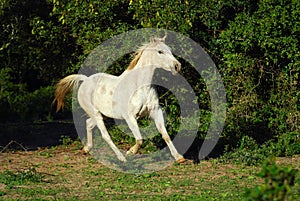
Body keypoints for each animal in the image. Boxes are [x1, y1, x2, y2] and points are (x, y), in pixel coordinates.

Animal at [53, 36, 185, 163]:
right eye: (160, 51)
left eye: (170, 50)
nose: (177, 66)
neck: (141, 86)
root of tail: (85, 80)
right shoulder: (130, 117)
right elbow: (139, 139)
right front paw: (131, 152)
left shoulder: (155, 112)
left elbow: (165, 135)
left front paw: (179, 157)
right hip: (95, 113)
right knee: (105, 135)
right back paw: (121, 158)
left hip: (102, 114)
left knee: (89, 124)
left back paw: (86, 149)